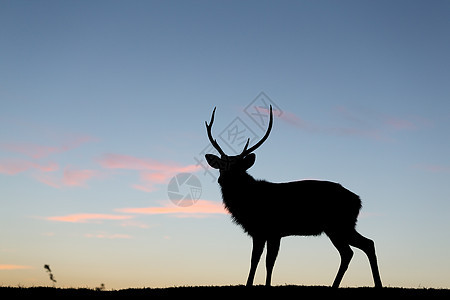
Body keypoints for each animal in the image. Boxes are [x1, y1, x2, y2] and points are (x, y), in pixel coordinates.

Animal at [205, 105, 384, 288]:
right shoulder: (261, 232)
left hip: (339, 224)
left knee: (356, 248)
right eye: (221, 166)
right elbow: (256, 260)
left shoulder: (271, 230)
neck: (247, 202)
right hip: (340, 226)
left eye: (237, 167)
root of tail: (358, 200)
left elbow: (267, 261)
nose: (222, 179)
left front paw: (264, 285)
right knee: (359, 247)